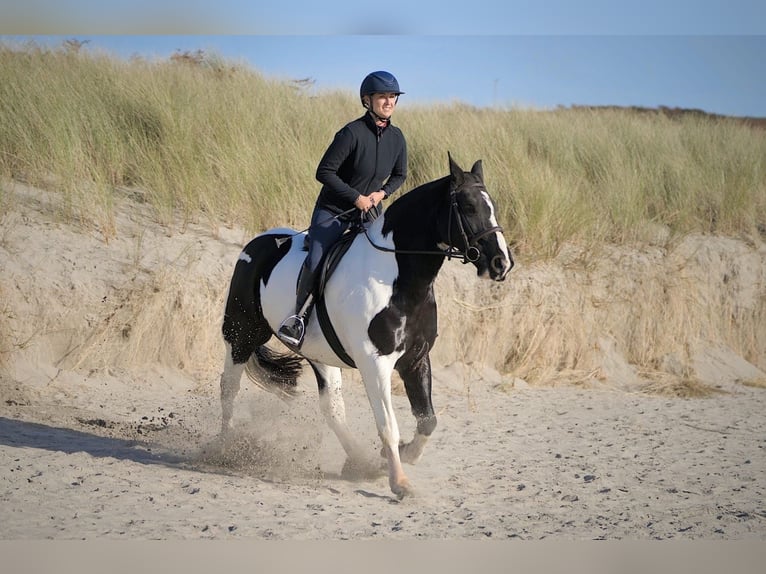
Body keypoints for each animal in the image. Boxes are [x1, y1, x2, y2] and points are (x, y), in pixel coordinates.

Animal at [219, 154, 512, 500]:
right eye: (467, 206)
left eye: (492, 205)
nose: (502, 263)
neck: (399, 279)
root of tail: (255, 244)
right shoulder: (376, 364)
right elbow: (388, 425)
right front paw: (400, 481)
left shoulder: (416, 359)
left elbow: (427, 421)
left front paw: (401, 455)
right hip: (242, 334)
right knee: (229, 388)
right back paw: (223, 449)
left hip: (319, 355)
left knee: (333, 409)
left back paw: (360, 462)